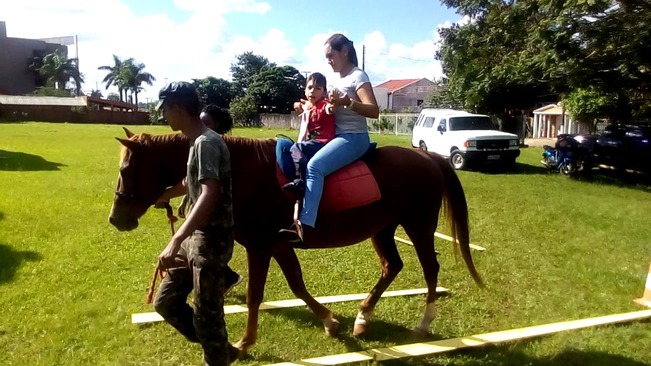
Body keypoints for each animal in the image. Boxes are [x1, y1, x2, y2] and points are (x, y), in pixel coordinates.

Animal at [108, 129, 484, 354]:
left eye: (126, 171)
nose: (116, 218)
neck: (243, 172)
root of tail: (427, 157)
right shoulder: (279, 245)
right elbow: (297, 284)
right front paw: (331, 322)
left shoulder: (260, 247)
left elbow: (257, 296)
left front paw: (245, 341)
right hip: (383, 229)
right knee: (393, 265)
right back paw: (362, 317)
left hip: (418, 225)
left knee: (430, 267)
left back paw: (423, 323)